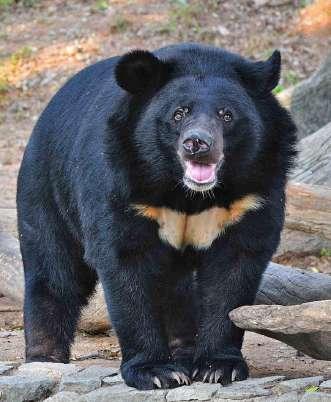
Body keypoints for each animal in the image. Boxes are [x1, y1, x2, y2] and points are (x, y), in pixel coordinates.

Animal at [16, 43, 296, 390]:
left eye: (226, 114)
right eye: (179, 113)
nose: (197, 144)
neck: (188, 193)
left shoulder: (252, 194)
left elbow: (234, 270)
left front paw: (218, 366)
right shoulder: (122, 183)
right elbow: (126, 264)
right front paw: (156, 371)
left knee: (177, 289)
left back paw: (185, 352)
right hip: (46, 189)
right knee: (54, 271)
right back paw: (45, 358)